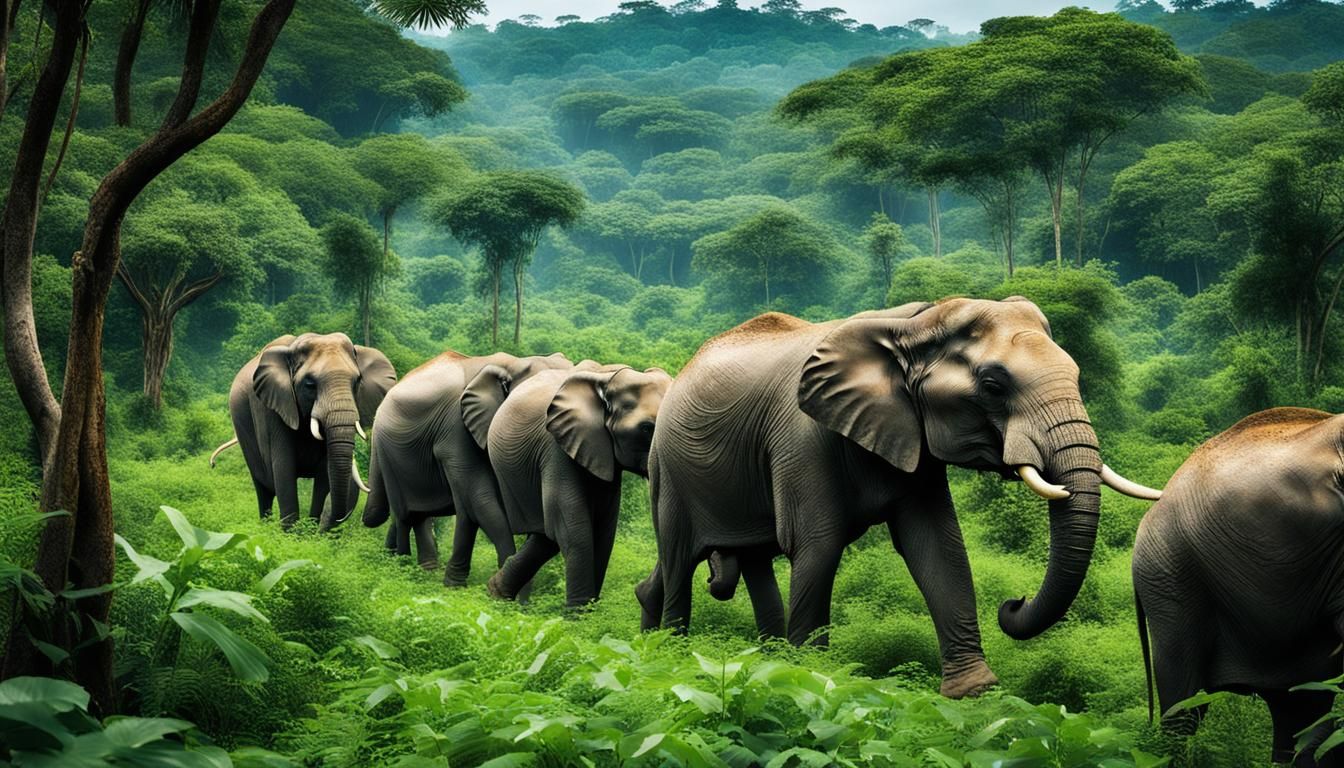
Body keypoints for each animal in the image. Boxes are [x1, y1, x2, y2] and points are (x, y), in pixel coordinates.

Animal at [211, 333, 397, 531]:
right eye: (309, 384)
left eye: (357, 382)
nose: (212, 465)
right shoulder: (272, 408)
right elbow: (283, 469)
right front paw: (290, 535)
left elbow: (324, 475)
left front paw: (311, 531)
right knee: (263, 488)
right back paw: (265, 527)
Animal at [360, 350, 572, 583]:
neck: (511, 363)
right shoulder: (455, 427)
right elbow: (478, 500)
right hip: (387, 452)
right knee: (406, 515)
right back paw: (404, 570)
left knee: (418, 514)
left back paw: (422, 571)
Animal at [476, 363, 673, 609]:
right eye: (646, 428)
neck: (608, 379)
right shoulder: (557, 447)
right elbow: (576, 531)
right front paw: (578, 615)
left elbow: (603, 532)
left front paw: (588, 613)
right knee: (549, 534)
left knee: (545, 537)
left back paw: (496, 592)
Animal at [636, 300, 1161, 699]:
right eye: (993, 386)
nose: (1014, 602)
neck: (914, 324)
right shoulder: (802, 438)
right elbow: (817, 548)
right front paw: (806, 682)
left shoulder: (917, 440)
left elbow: (938, 546)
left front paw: (976, 693)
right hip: (668, 468)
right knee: (681, 559)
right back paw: (671, 659)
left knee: (751, 560)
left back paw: (759, 658)